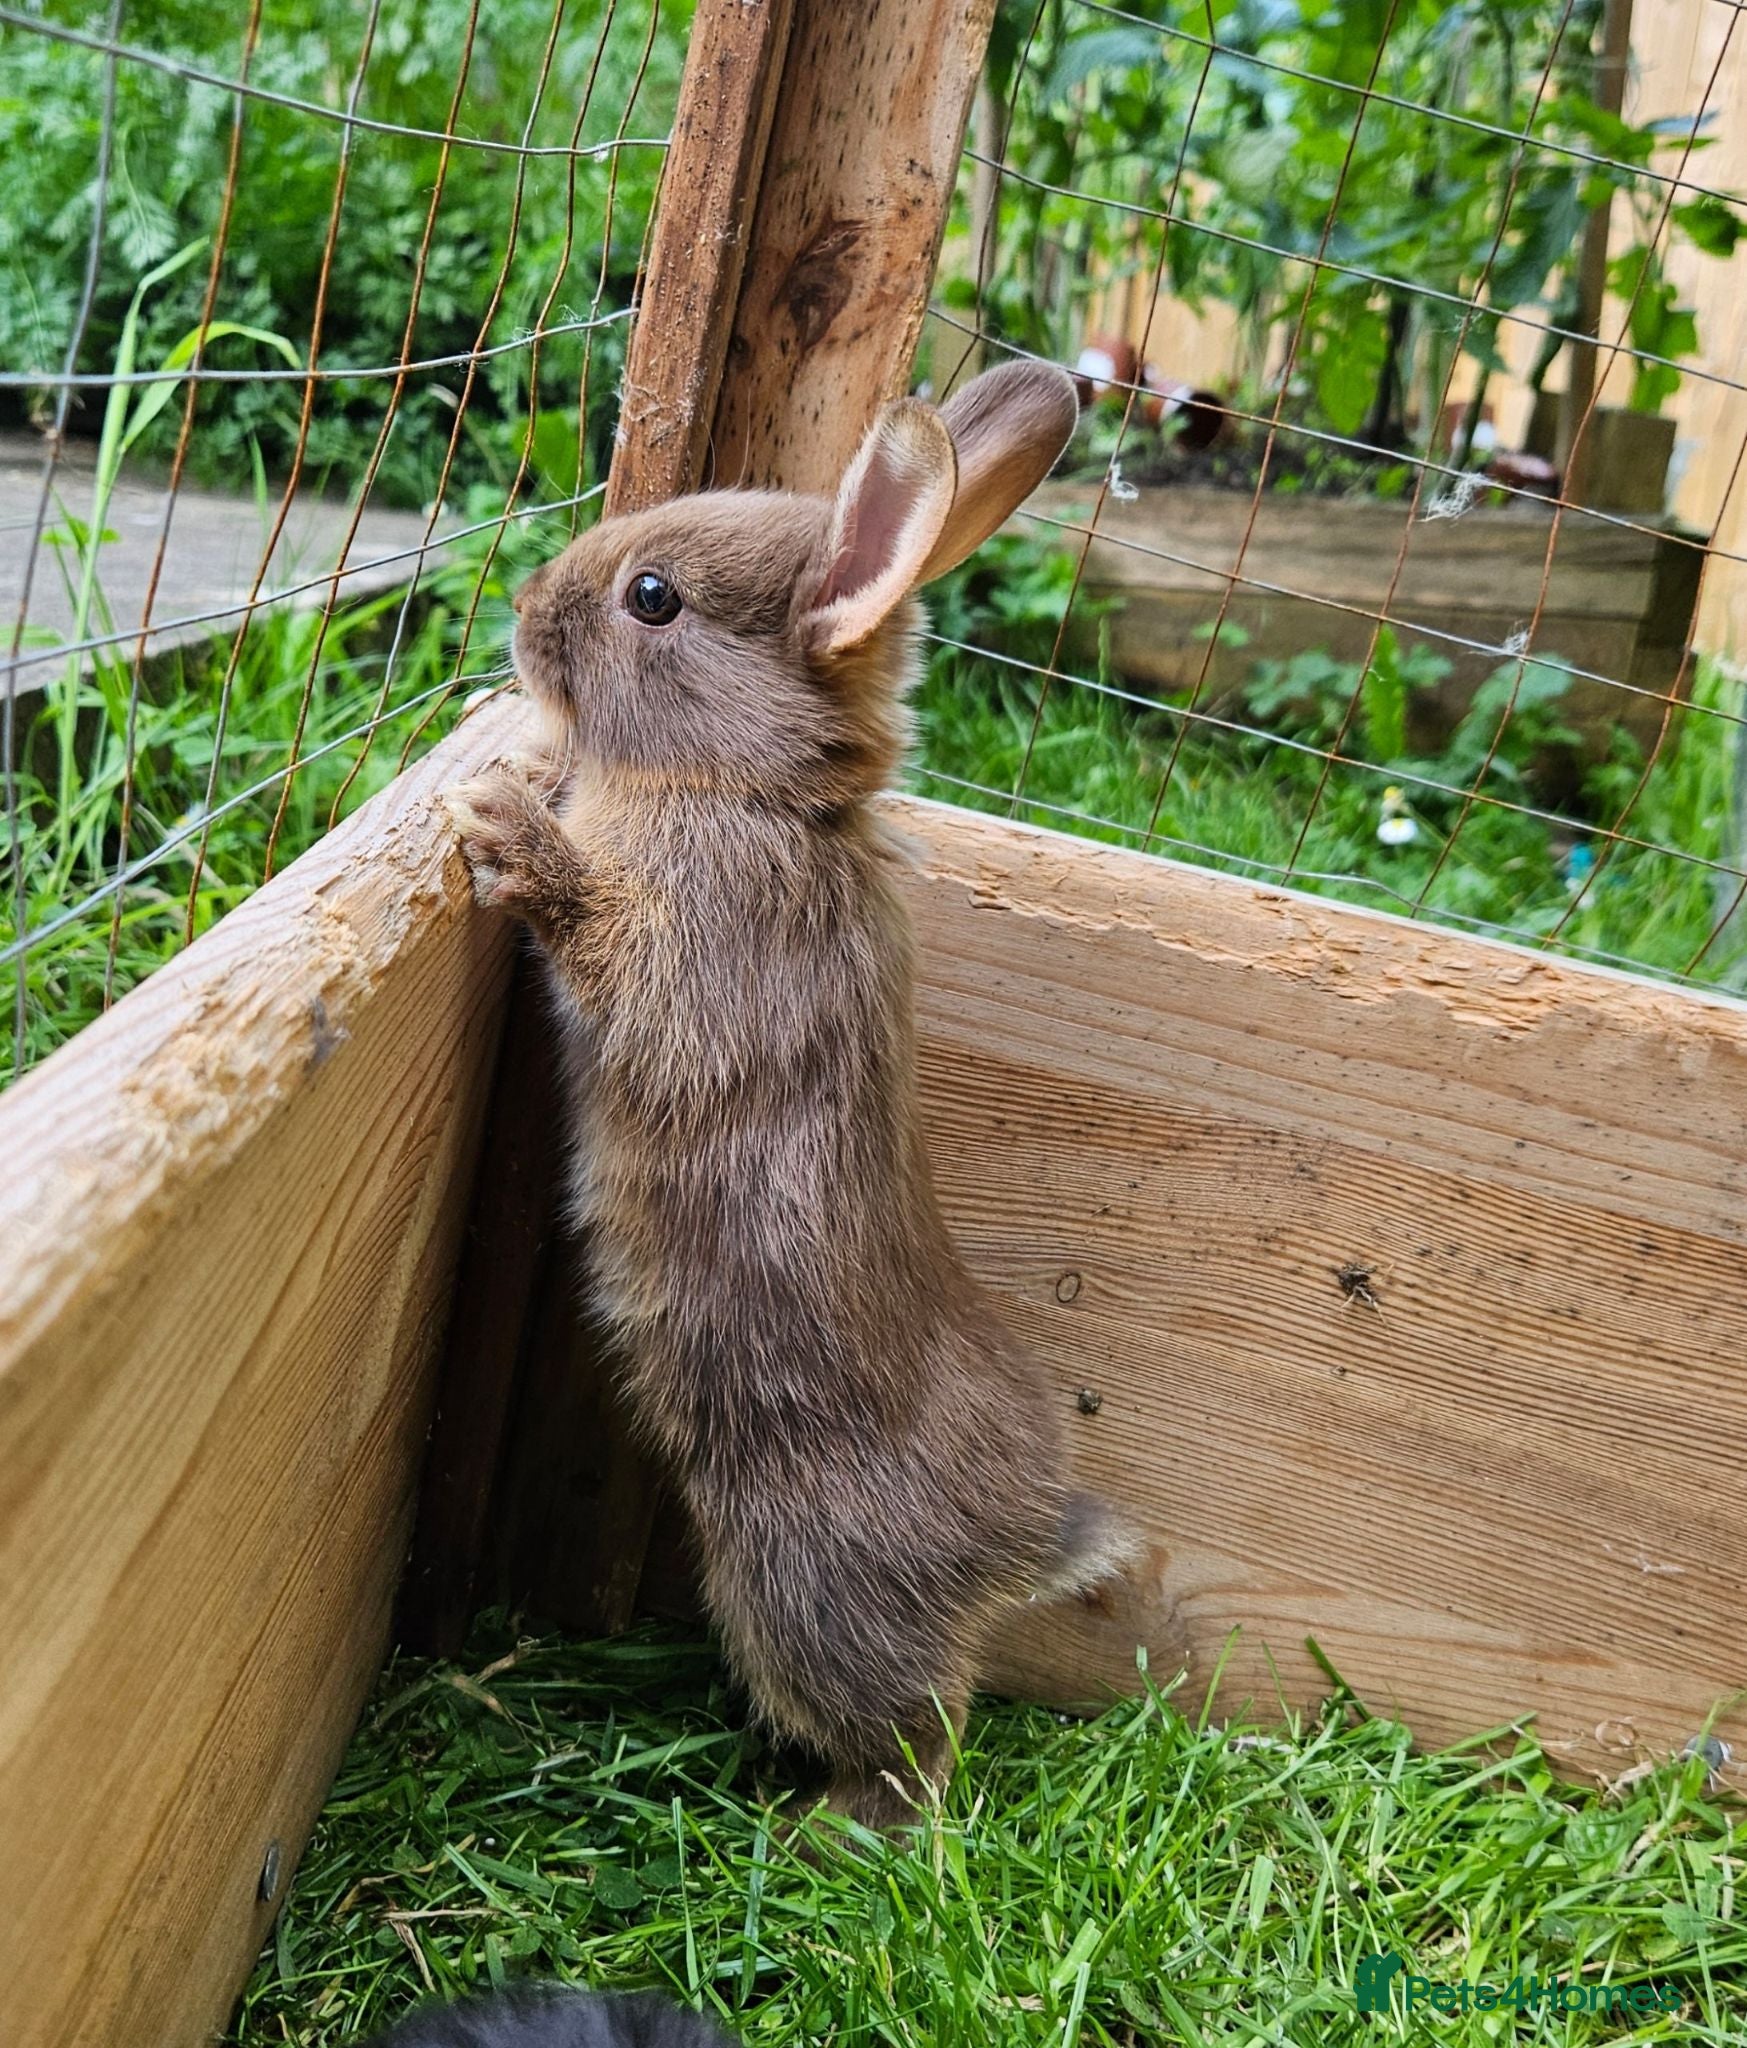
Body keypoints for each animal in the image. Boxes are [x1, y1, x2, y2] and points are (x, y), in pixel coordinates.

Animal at [446, 360, 1140, 1828]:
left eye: (652, 599)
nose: (525, 611)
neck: (749, 792)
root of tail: (1019, 1546)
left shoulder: (685, 959)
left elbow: (602, 950)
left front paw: (502, 826)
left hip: (798, 1585)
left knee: (914, 1746)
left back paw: (822, 1832)